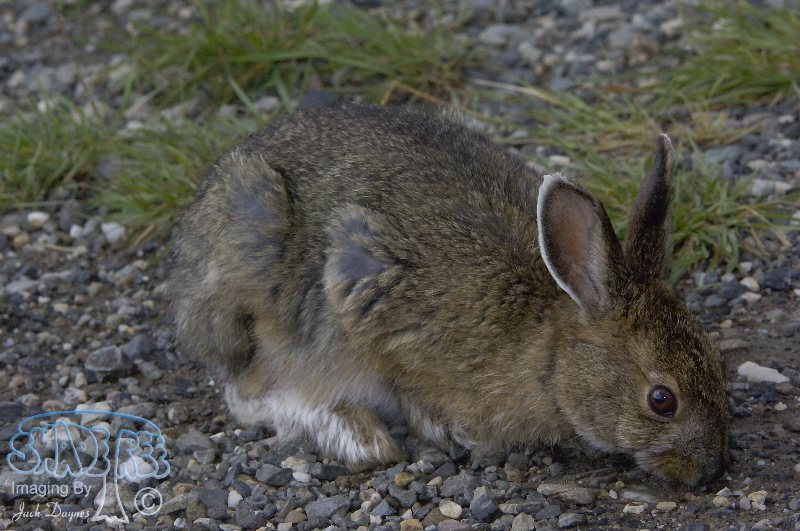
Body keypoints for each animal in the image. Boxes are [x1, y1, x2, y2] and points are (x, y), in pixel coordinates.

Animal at [170, 104, 730, 486]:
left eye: (716, 362)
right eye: (662, 401)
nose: (707, 470)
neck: (549, 349)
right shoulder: (369, 298)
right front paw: (444, 429)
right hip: (254, 285)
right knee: (250, 393)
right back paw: (360, 436)